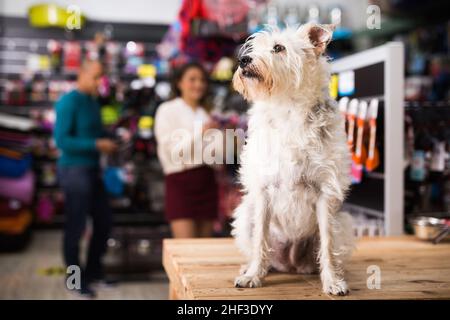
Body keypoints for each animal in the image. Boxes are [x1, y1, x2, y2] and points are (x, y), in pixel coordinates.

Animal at [232, 23, 356, 296]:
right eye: (252, 47)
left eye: (278, 48)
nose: (243, 60)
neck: (287, 107)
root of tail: (289, 263)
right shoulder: (263, 191)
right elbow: (260, 240)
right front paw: (253, 276)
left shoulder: (325, 193)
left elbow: (328, 245)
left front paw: (332, 281)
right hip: (245, 215)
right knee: (260, 248)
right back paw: (252, 268)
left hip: (343, 221)